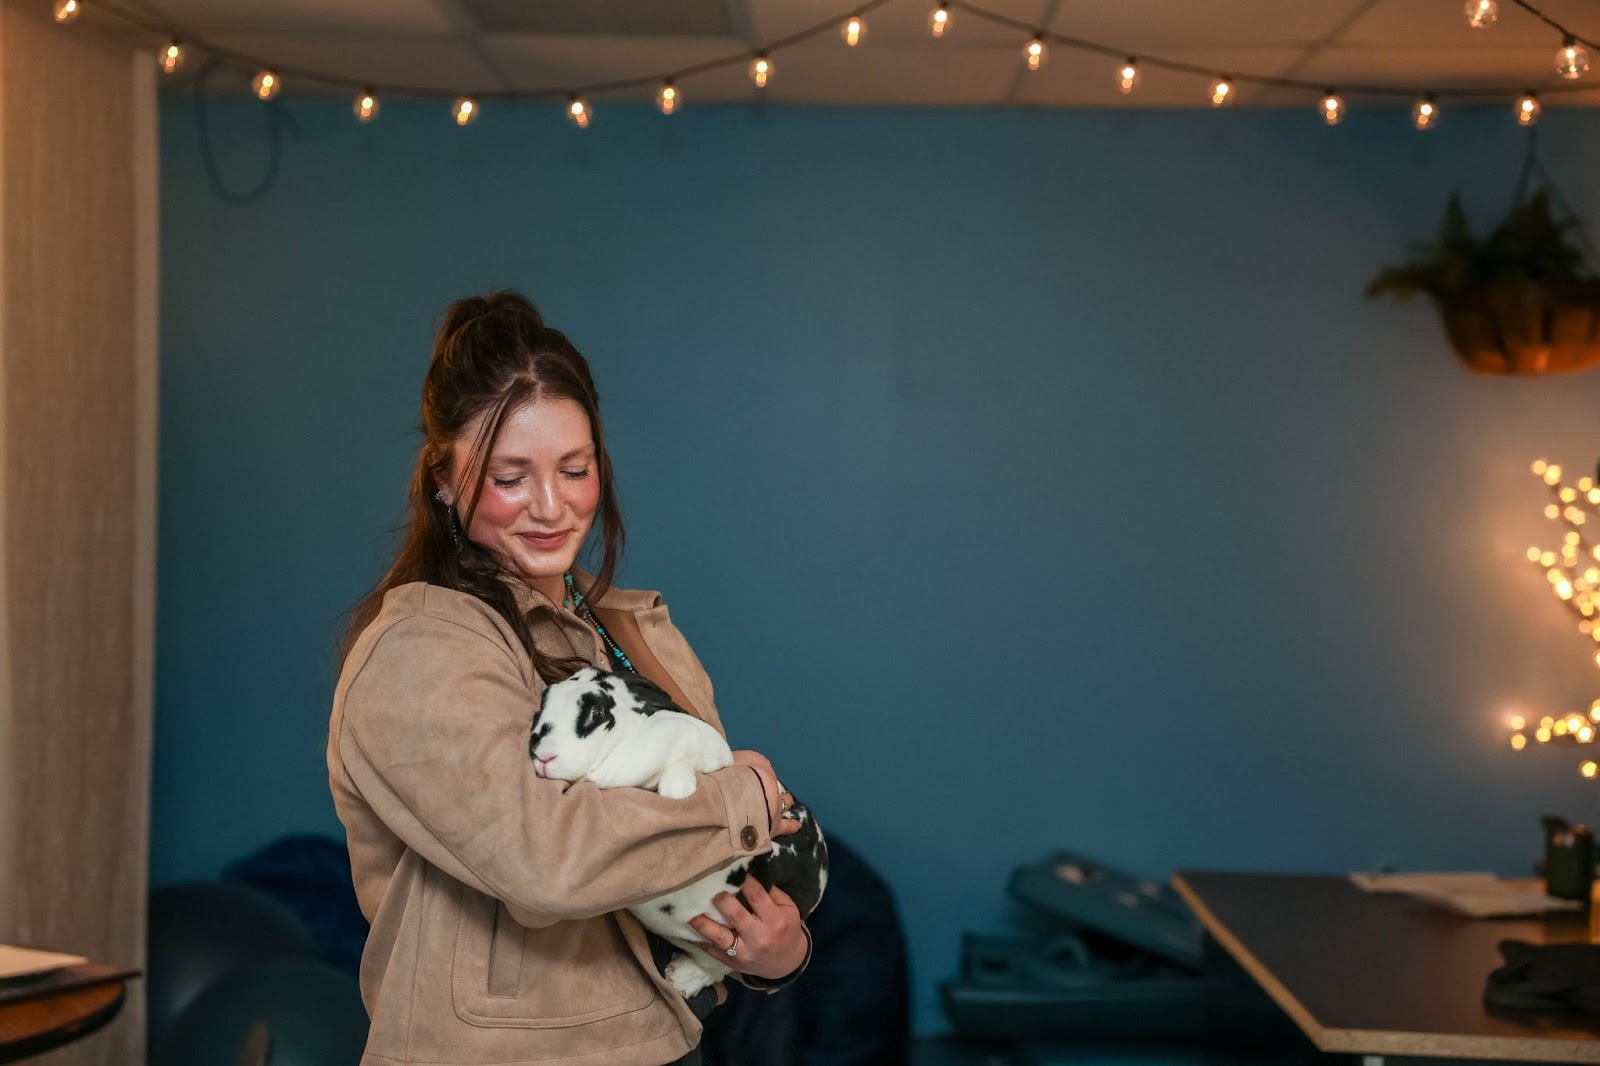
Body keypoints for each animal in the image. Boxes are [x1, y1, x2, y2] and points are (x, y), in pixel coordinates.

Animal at [530, 667, 828, 999]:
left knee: (719, 968)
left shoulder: (693, 740)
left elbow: (666, 731)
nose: (544, 756)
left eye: (597, 712)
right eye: (544, 701)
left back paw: (682, 979)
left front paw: (676, 790)